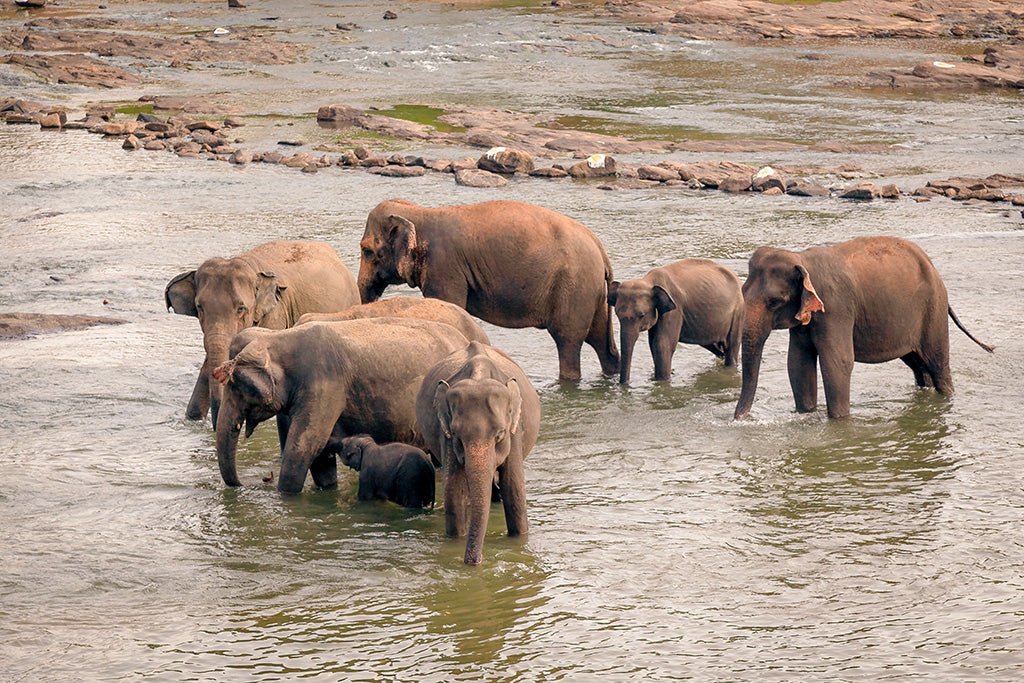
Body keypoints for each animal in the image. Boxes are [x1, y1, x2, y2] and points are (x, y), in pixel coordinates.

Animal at [212, 317, 470, 494]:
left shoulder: (324, 384)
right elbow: (320, 456)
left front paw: (286, 495)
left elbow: (305, 445)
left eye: (239, 386)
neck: (279, 337)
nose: (251, 482)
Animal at [357, 198, 619, 381]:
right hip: (592, 293)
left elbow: (448, 305)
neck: (420, 212)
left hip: (575, 287)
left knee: (568, 341)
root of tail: (600, 248)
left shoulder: (445, 268)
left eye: (367, 251)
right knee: (600, 342)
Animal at [416, 341, 541, 565]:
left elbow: (514, 491)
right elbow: (454, 493)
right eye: (457, 436)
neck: (479, 376)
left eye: (500, 435)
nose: (474, 561)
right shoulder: (445, 435)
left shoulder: (515, 432)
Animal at [609, 258, 744, 384]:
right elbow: (653, 344)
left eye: (641, 315)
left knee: (731, 346)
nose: (624, 384)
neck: (649, 281)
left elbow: (662, 345)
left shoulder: (674, 310)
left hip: (737, 312)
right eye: (617, 314)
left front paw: (662, 382)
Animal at [734, 236, 994, 420]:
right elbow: (797, 363)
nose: (738, 419)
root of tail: (933, 267)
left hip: (933, 310)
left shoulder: (836, 308)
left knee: (937, 363)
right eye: (743, 292)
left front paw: (839, 422)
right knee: (918, 365)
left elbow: (837, 362)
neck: (802, 260)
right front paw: (805, 414)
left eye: (774, 302)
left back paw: (947, 397)